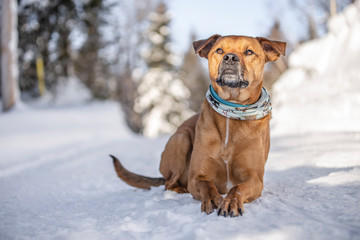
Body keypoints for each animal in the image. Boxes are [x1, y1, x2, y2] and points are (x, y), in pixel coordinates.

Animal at [111, 34, 286, 218]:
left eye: (249, 52)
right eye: (219, 50)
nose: (230, 57)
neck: (232, 109)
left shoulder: (254, 179)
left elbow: (237, 188)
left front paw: (230, 202)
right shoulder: (197, 177)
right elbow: (207, 186)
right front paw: (213, 199)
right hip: (180, 139)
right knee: (169, 183)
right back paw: (180, 189)